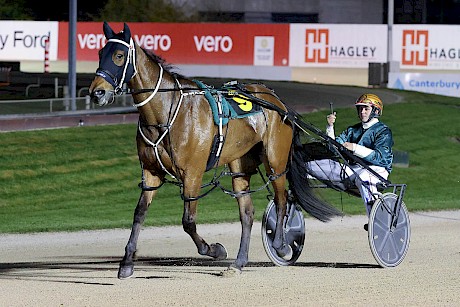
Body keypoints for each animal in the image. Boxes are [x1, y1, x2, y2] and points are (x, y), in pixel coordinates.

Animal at [89, 22, 342, 280]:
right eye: (100, 53)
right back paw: (239, 262)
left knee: (282, 200)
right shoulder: (151, 172)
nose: (96, 92)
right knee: (247, 212)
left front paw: (215, 249)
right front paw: (127, 262)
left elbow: (188, 221)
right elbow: (139, 213)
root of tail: (277, 101)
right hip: (240, 166)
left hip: (276, 161)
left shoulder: (192, 174)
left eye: (119, 56)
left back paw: (281, 244)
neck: (167, 112)